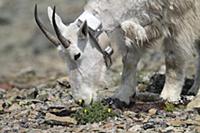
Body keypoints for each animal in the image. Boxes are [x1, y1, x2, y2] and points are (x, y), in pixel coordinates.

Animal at [34, 0, 200, 106]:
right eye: (62, 57)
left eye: (77, 55)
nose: (80, 101)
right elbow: (129, 60)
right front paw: (122, 96)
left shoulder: (181, 17)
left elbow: (173, 58)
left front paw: (169, 97)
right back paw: (195, 89)